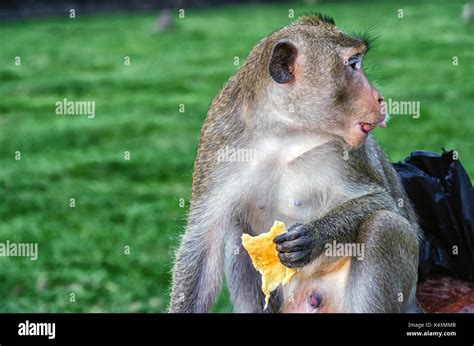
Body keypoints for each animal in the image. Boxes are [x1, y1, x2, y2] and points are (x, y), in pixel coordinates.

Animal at [168, 14, 420, 314]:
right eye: (353, 64)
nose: (380, 98)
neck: (283, 134)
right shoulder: (218, 142)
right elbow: (203, 245)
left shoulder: (351, 153)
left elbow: (385, 201)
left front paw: (317, 235)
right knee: (236, 237)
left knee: (384, 226)